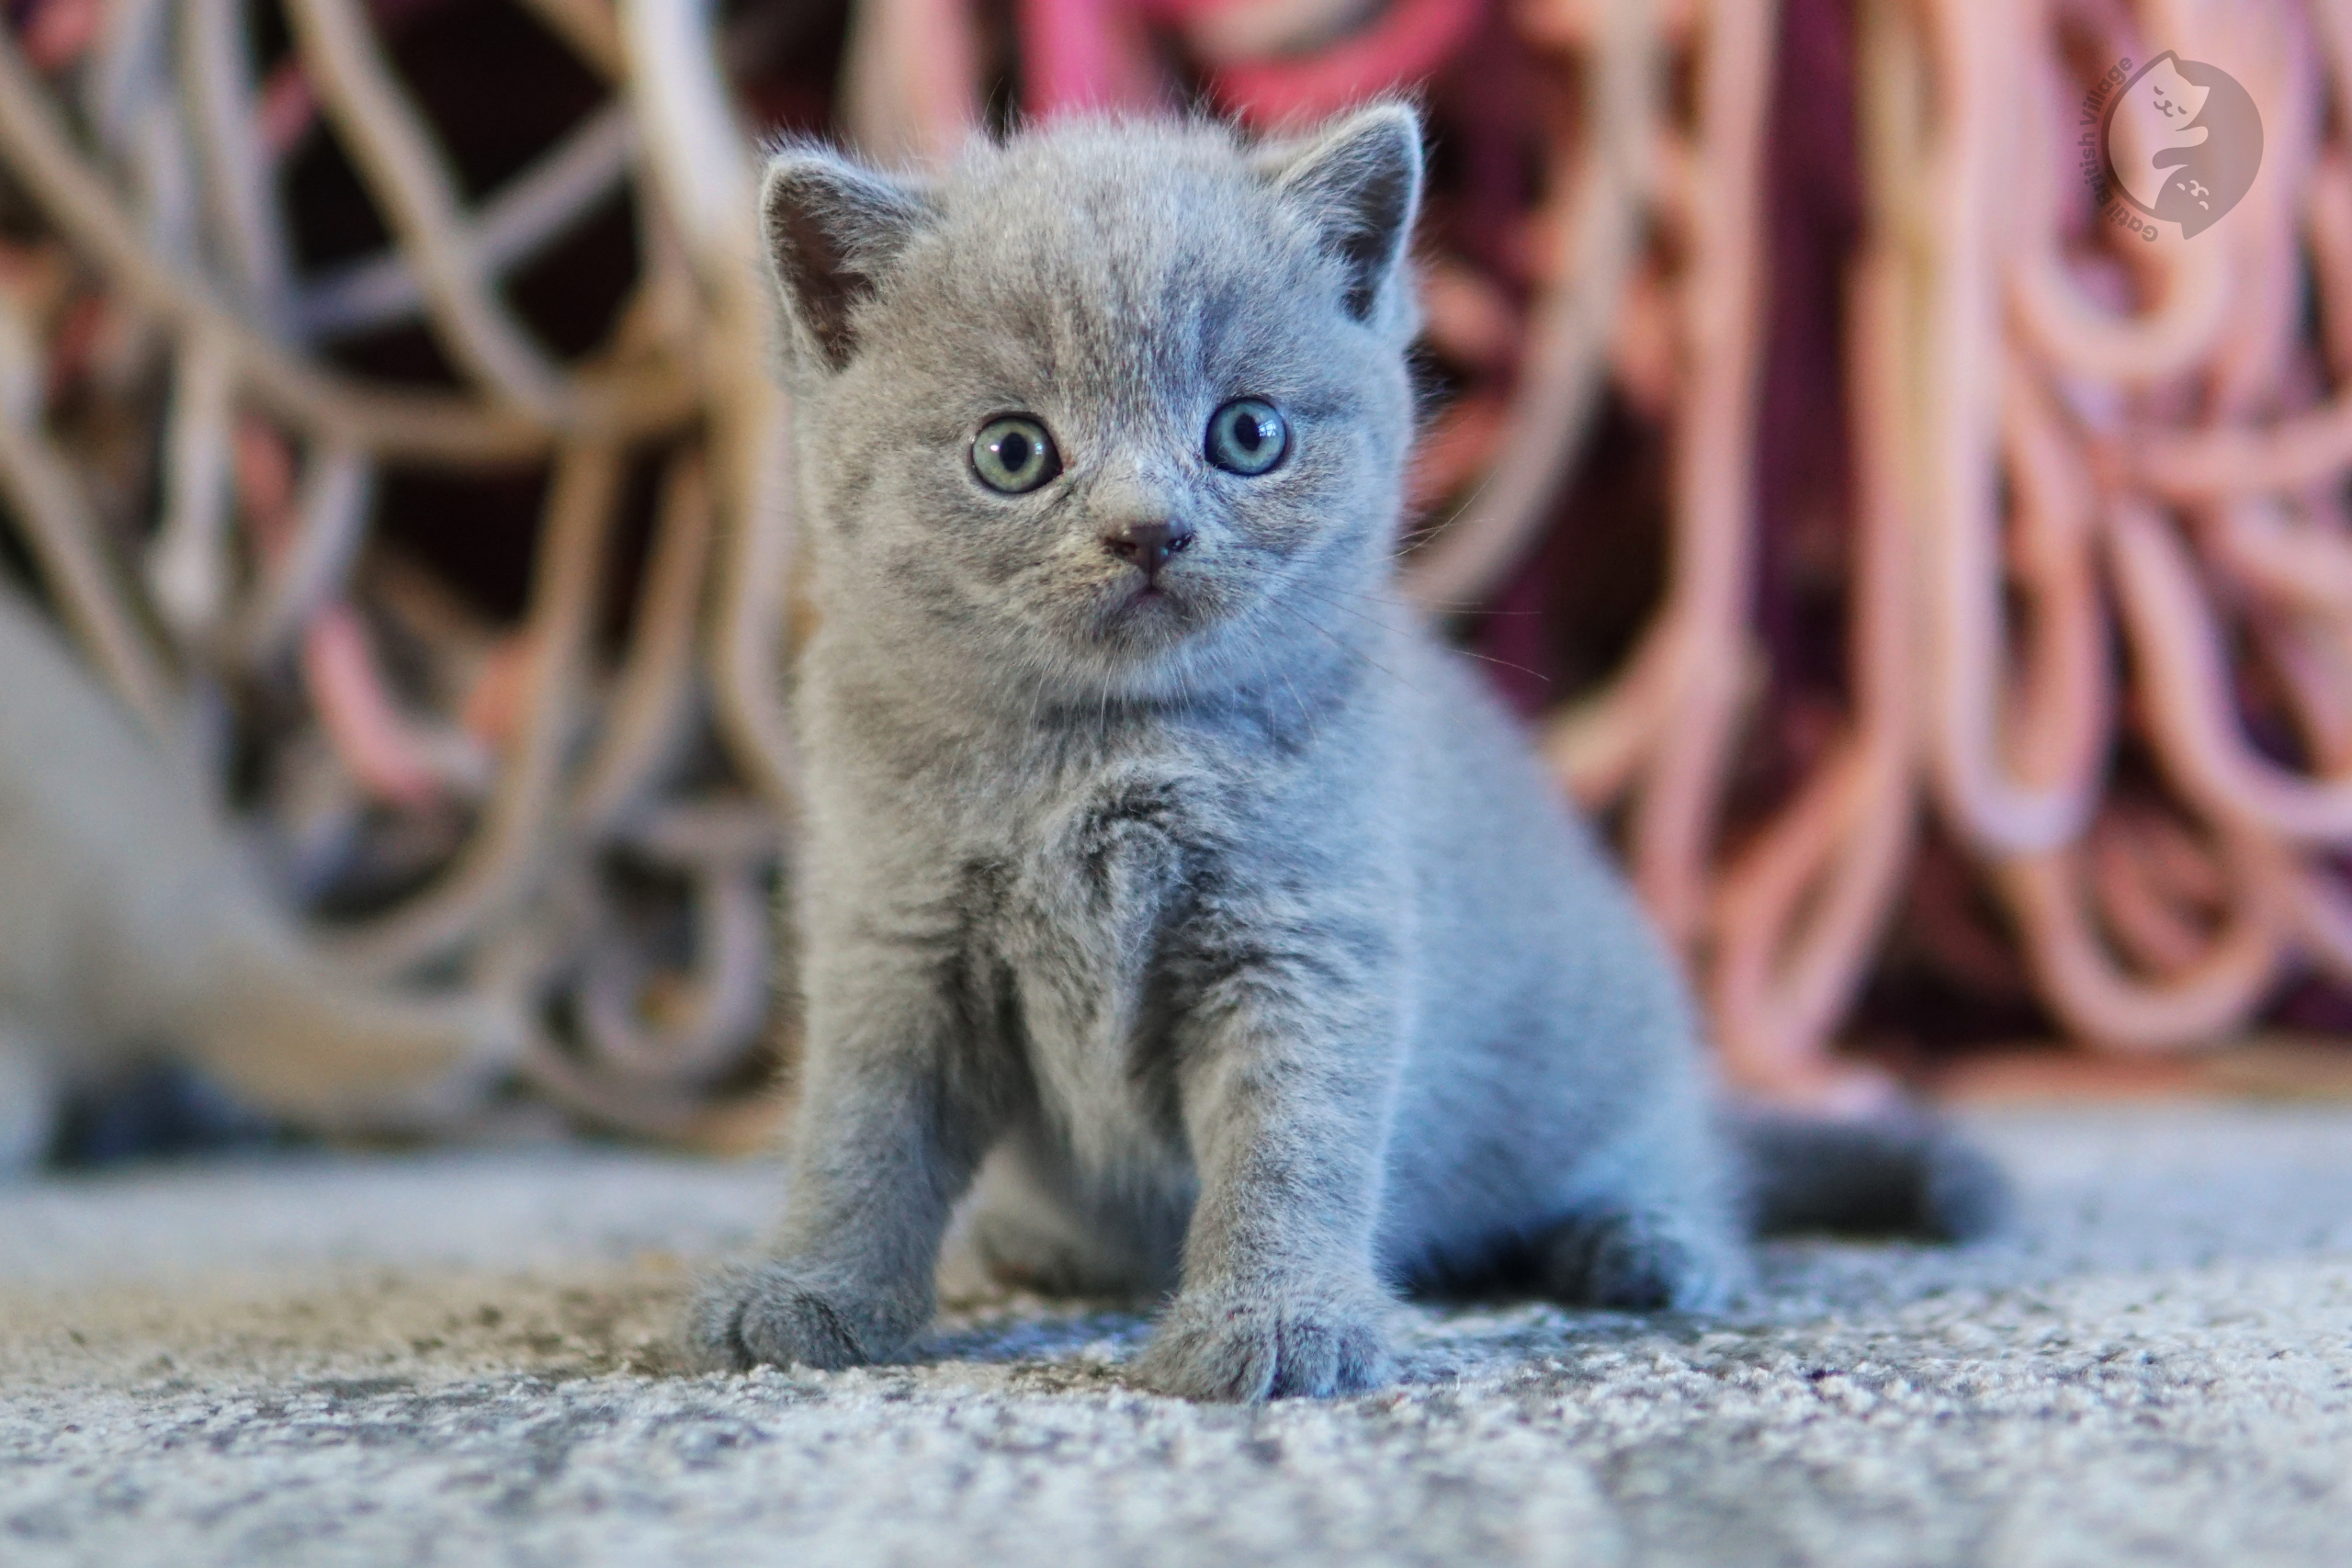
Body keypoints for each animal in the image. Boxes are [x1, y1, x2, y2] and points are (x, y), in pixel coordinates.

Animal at [686, 104, 2004, 1401]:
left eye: (1247, 434)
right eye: (1013, 452)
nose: (1148, 530)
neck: (1106, 750)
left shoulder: (1305, 935)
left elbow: (1289, 1139)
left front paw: (1273, 1321)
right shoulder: (897, 937)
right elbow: (863, 1130)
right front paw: (807, 1289)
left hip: (1613, 1031)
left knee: (1683, 1152)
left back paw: (1643, 1240)